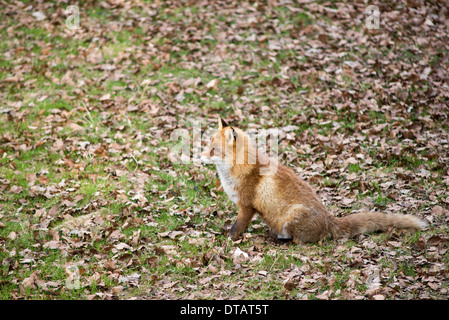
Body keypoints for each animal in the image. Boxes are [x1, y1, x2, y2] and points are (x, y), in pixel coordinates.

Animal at [200, 119, 428, 244]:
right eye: (208, 146)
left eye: (213, 150)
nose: (199, 157)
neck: (239, 169)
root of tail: (330, 221)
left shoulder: (247, 206)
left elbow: (236, 228)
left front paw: (227, 241)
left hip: (292, 217)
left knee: (300, 242)